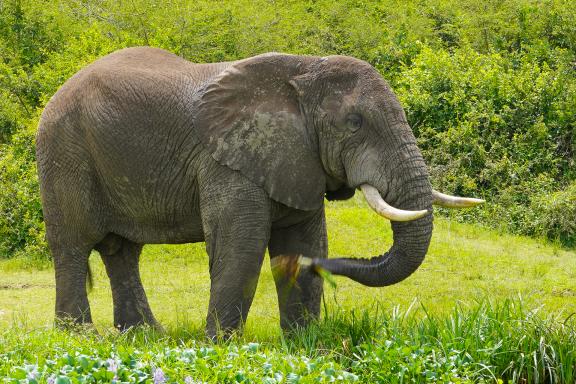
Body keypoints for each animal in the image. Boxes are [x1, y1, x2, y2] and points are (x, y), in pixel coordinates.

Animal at [36, 47, 484, 336]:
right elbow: (242, 249)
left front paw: (307, 345)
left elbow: (304, 239)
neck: (303, 73)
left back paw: (146, 334)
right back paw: (80, 336)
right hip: (63, 150)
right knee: (74, 245)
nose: (324, 266)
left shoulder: (296, 158)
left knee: (122, 251)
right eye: (355, 123)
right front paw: (220, 347)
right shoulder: (226, 161)